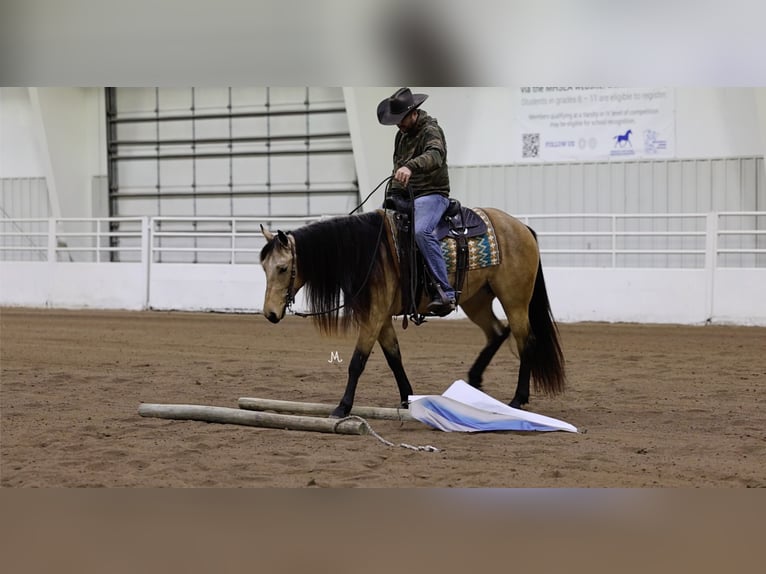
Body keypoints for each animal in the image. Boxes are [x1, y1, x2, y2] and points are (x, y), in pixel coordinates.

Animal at [260, 207, 568, 418]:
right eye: (264, 267)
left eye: (283, 268)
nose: (270, 313)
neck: (369, 253)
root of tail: (521, 227)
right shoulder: (382, 317)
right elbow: (394, 358)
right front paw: (408, 398)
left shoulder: (373, 316)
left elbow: (357, 362)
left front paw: (342, 407)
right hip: (476, 300)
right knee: (497, 332)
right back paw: (474, 380)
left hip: (514, 300)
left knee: (526, 341)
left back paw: (518, 399)